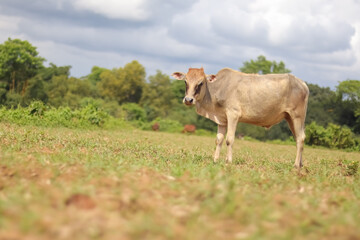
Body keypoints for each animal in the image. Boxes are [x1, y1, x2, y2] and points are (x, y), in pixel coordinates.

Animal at [172, 67, 310, 169]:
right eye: (185, 81)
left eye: (200, 83)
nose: (188, 99)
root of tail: (302, 83)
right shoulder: (222, 119)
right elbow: (219, 140)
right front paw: (215, 160)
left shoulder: (233, 114)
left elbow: (229, 139)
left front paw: (228, 161)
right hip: (290, 118)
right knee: (298, 138)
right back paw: (301, 164)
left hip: (297, 116)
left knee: (300, 138)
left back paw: (296, 165)